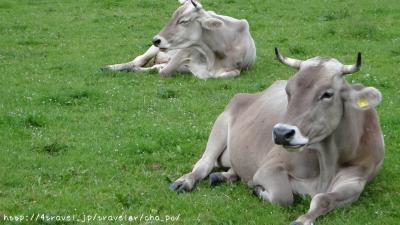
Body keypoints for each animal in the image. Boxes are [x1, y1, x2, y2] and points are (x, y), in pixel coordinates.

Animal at [101, 0, 255, 79]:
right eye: (173, 16)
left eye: (183, 21)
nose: (156, 40)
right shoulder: (185, 51)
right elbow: (162, 71)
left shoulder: (235, 69)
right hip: (153, 51)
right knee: (137, 60)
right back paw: (109, 68)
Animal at [170, 49, 386, 225]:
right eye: (288, 91)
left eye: (327, 94)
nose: (281, 133)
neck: (327, 162)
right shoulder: (270, 167)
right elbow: (284, 196)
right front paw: (258, 189)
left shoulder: (356, 181)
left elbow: (324, 199)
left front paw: (303, 219)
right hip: (221, 124)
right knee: (203, 164)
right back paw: (185, 181)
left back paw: (224, 176)